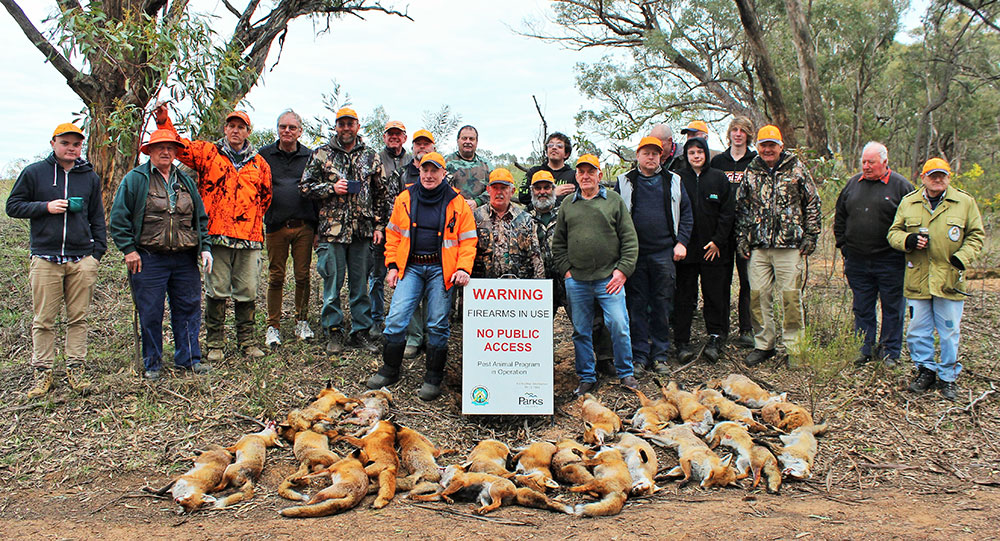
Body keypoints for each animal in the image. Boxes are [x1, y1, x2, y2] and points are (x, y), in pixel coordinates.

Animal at [414, 460, 572, 516]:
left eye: (448, 465)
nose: (440, 465)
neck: (447, 479)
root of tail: (515, 490)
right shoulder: (442, 491)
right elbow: (428, 497)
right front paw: (415, 497)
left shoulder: (458, 483)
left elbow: (445, 493)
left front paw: (448, 500)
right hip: (484, 497)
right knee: (490, 505)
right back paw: (480, 510)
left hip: (492, 491)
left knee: (497, 504)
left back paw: (482, 511)